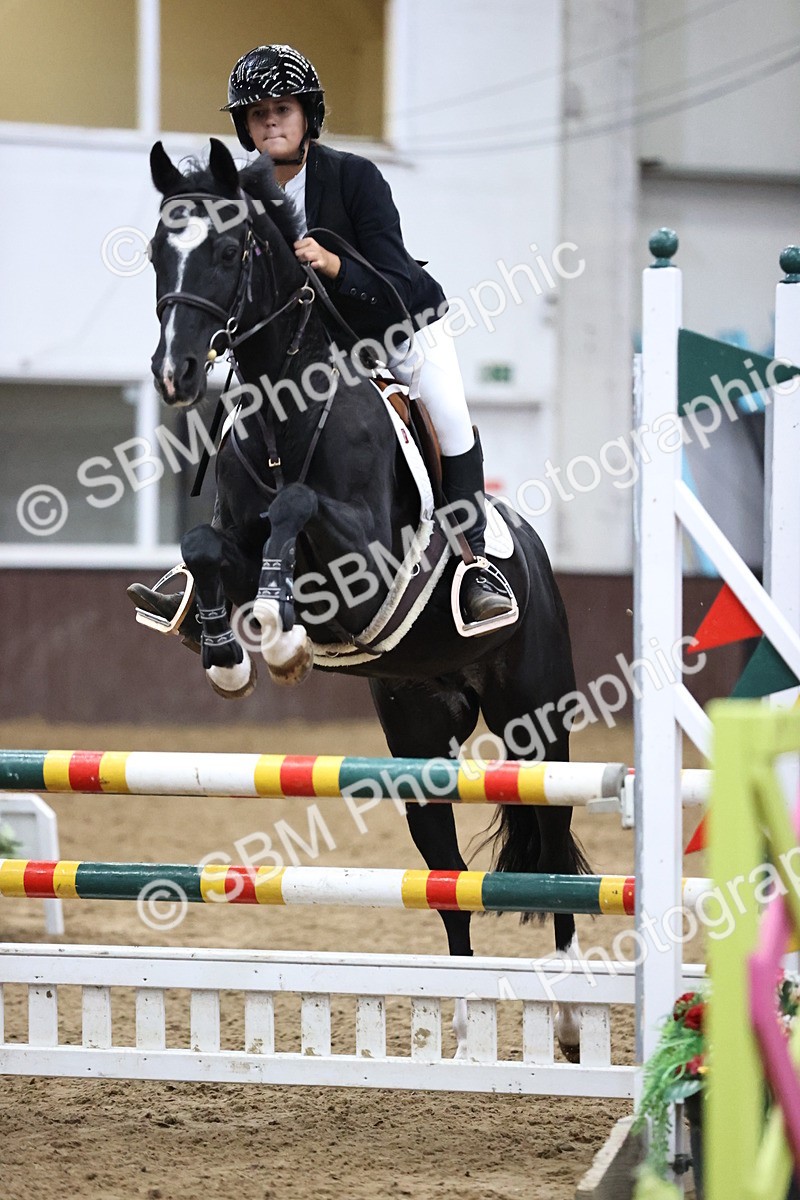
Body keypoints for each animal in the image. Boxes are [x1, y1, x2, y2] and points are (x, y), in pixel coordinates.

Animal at [144, 137, 589, 1060]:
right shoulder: (236, 537)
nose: (174, 374)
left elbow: (296, 508)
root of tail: (533, 550)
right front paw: (228, 651)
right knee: (447, 872)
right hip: (418, 731)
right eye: (154, 252)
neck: (287, 414)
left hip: (538, 722)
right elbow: (209, 547)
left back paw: (569, 1014)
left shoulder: (368, 567)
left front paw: (278, 635)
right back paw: (457, 1016)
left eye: (228, 251)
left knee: (555, 837)